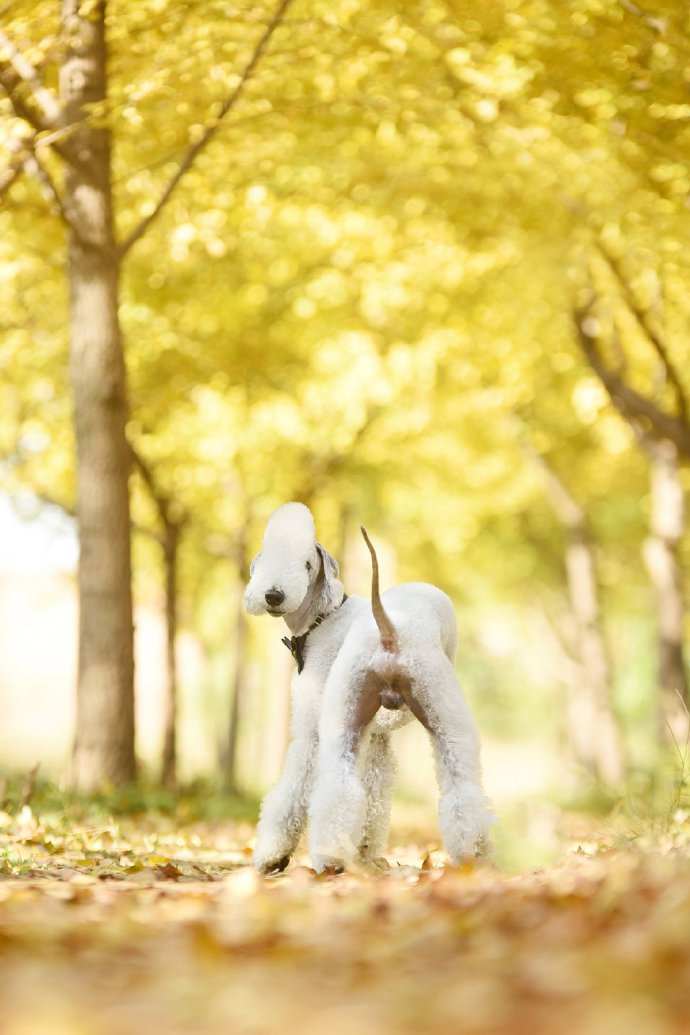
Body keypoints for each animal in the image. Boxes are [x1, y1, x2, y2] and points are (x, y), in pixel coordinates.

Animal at [245, 500, 494, 873]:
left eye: (306, 565)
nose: (273, 595)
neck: (325, 619)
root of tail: (390, 632)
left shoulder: (310, 734)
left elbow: (291, 790)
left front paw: (270, 855)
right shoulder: (375, 737)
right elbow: (374, 794)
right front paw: (365, 851)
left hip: (402, 715)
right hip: (404, 714)